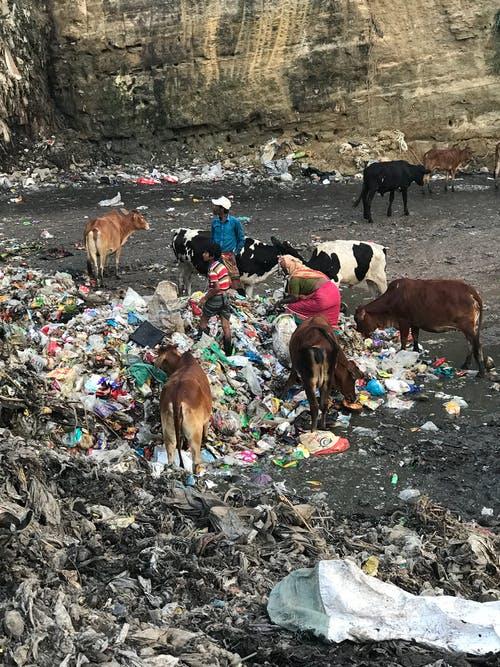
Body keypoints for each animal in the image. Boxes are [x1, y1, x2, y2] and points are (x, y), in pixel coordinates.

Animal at [155, 344, 212, 474]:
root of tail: (177, 397)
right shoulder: (206, 418)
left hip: (168, 427)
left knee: (171, 451)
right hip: (194, 432)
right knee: (195, 460)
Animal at [354, 278, 486, 378]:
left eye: (358, 320)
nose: (359, 333)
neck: (391, 300)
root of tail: (471, 290)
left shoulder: (404, 321)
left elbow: (403, 340)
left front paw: (402, 353)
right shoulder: (414, 323)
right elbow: (415, 337)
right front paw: (416, 351)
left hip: (469, 327)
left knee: (477, 346)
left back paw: (481, 372)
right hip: (469, 329)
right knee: (470, 344)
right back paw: (466, 365)